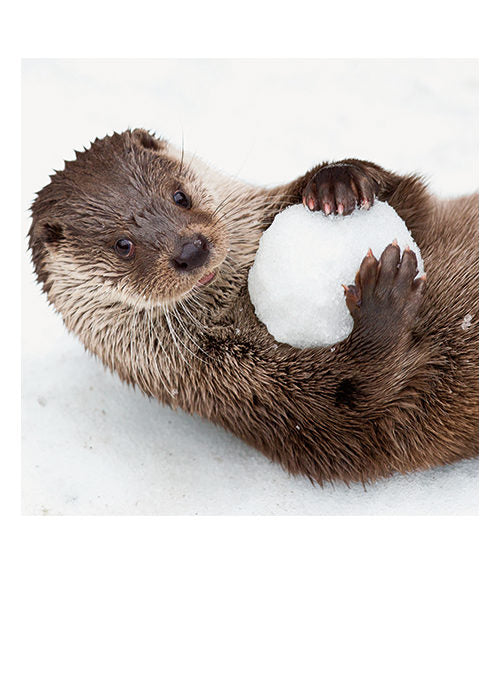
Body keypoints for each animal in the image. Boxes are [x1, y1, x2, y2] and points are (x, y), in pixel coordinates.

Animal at [28, 129, 480, 484]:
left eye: (180, 196)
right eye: (123, 245)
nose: (190, 250)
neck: (238, 295)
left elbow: (413, 199)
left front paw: (337, 180)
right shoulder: (249, 391)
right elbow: (359, 409)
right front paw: (383, 303)